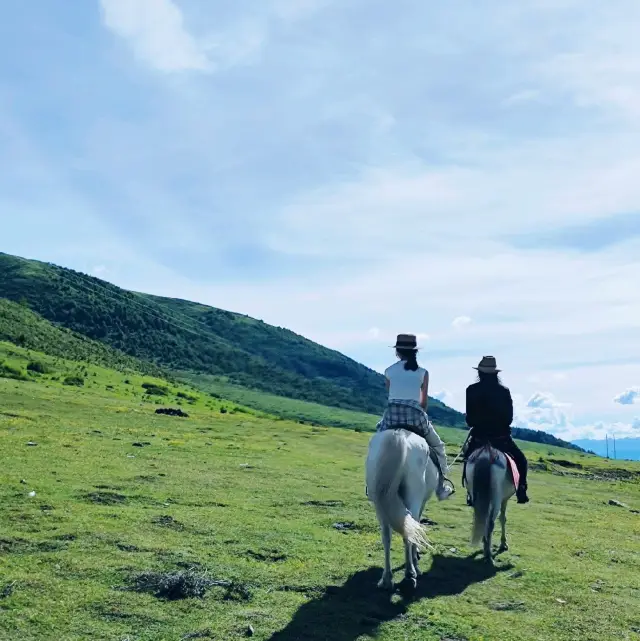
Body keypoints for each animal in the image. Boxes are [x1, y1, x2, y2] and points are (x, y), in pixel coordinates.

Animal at [364, 428, 440, 588]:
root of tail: (399, 435)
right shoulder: (420, 504)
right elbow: (416, 528)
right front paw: (415, 558)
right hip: (413, 498)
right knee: (407, 532)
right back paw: (410, 574)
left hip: (379, 504)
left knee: (386, 535)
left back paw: (386, 579)